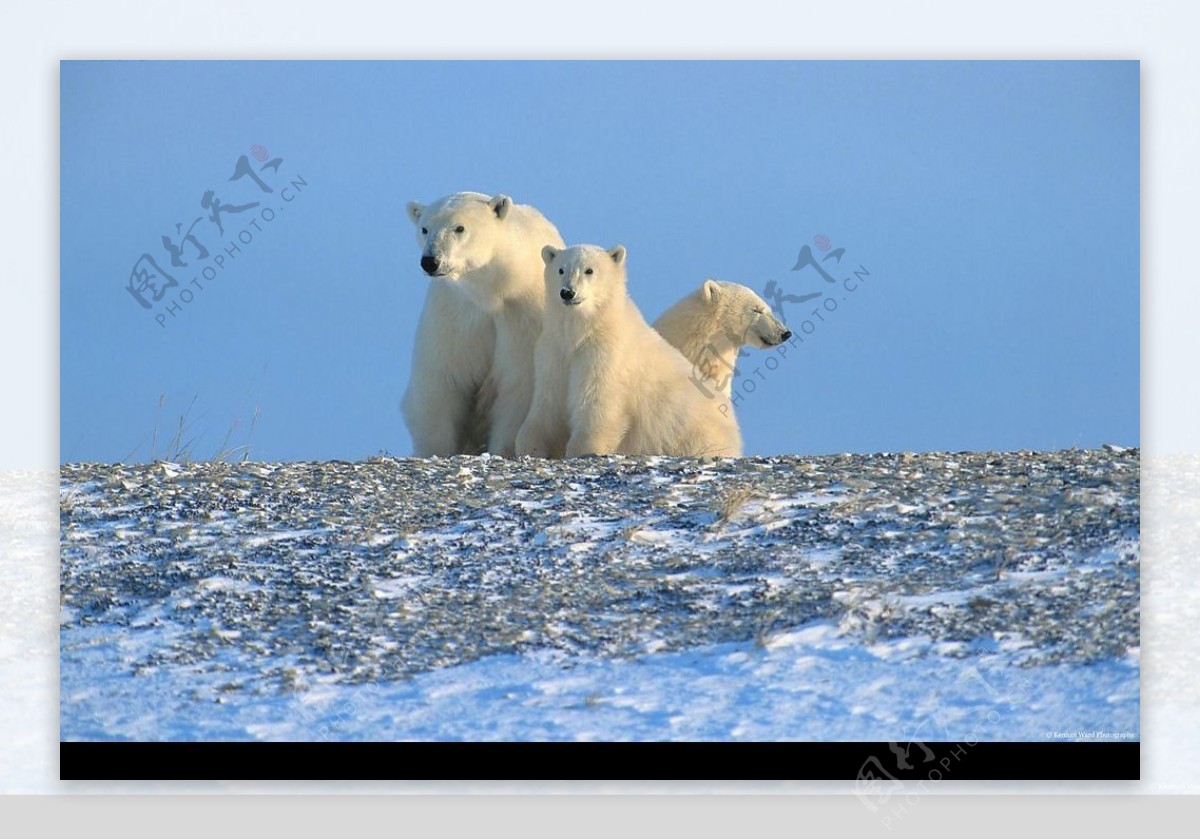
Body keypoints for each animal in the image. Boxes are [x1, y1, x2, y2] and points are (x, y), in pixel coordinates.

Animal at [400, 190, 564, 456]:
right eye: (424, 228)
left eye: (459, 227)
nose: (430, 261)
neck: (492, 292)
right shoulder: (454, 315)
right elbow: (442, 382)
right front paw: (435, 449)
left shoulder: (523, 318)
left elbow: (517, 385)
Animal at [520, 242, 744, 458]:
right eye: (561, 269)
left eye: (589, 270)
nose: (567, 292)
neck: (583, 331)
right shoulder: (554, 351)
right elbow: (548, 401)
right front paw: (531, 445)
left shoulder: (606, 355)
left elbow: (597, 402)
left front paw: (583, 448)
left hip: (694, 432)